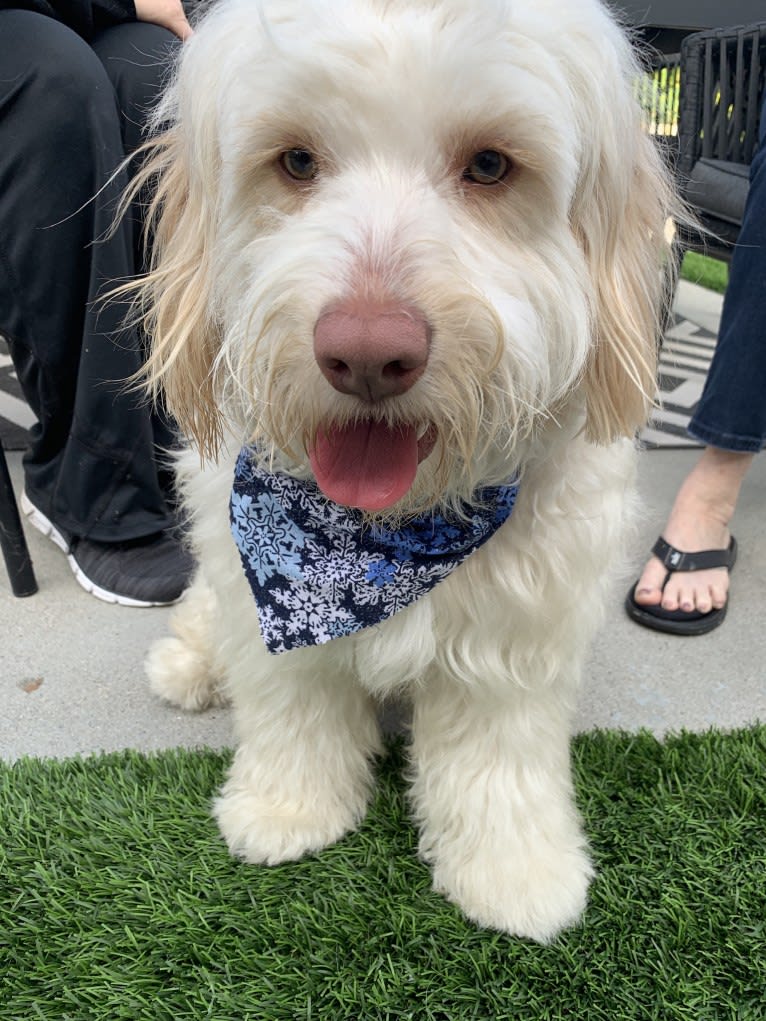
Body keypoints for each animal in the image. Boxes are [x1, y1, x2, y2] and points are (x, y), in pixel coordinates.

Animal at [136, 0, 678, 939]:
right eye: (297, 161)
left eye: (491, 165)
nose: (365, 354)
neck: (379, 540)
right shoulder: (270, 604)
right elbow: (293, 705)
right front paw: (287, 808)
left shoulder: (516, 636)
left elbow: (498, 758)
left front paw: (515, 871)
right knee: (208, 621)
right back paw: (190, 668)